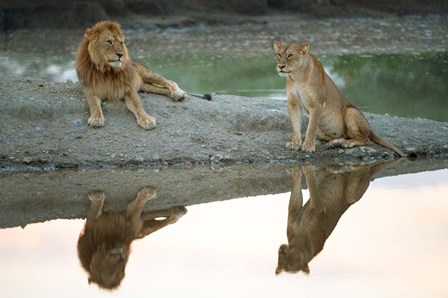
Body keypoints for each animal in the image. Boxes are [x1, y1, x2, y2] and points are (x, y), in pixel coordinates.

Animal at [272, 41, 404, 157]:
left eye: (290, 55)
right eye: (278, 54)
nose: (280, 66)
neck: (297, 76)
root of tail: (370, 129)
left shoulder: (317, 105)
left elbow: (310, 129)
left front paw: (308, 146)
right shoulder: (293, 103)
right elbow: (295, 126)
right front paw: (295, 144)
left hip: (350, 111)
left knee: (366, 140)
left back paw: (348, 143)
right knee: (345, 136)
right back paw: (334, 143)